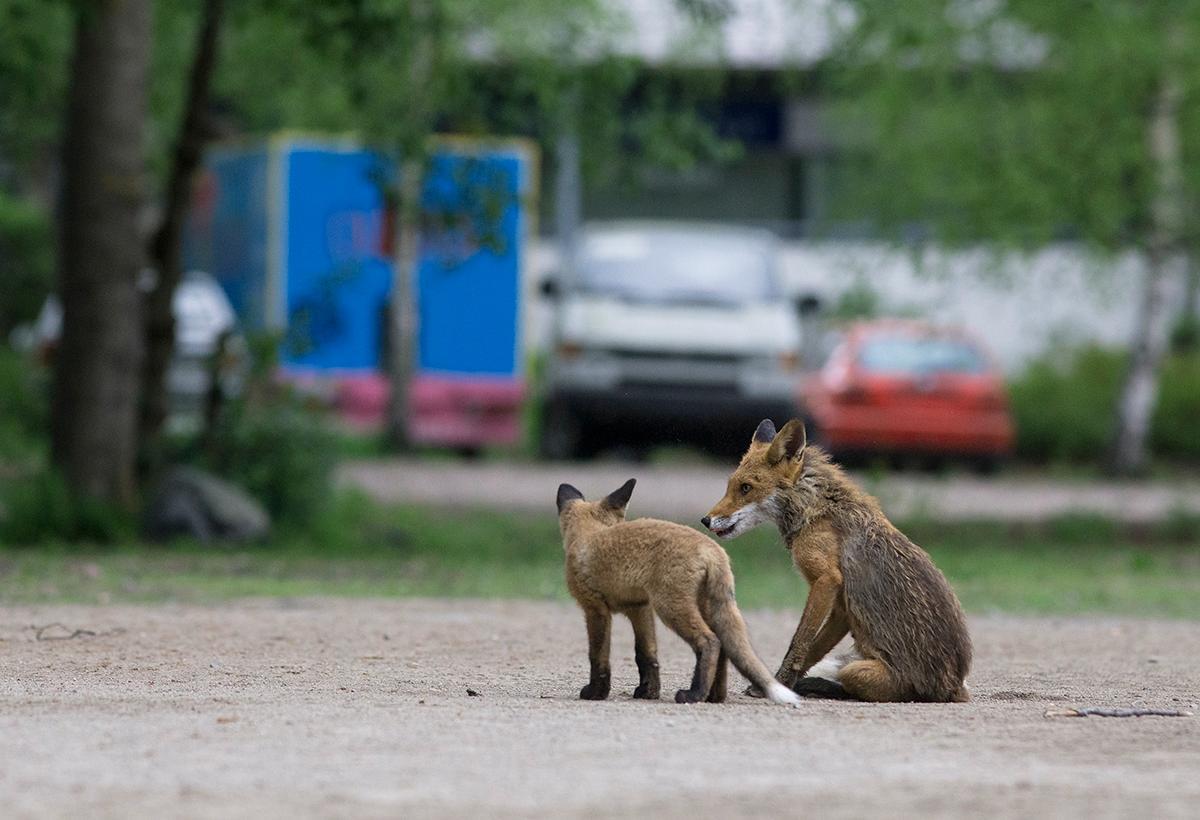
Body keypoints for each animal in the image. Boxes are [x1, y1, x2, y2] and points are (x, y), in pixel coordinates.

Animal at [556, 477, 801, 710]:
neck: (588, 535)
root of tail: (713, 549)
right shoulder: (640, 607)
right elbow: (646, 654)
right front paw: (648, 692)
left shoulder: (595, 608)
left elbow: (597, 655)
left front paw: (595, 693)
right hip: (703, 608)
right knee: (724, 647)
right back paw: (714, 696)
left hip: (671, 608)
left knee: (710, 642)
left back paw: (694, 695)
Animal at [700, 420, 964, 701]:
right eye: (731, 486)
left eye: (746, 488)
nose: (705, 520)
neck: (814, 511)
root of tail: (953, 688)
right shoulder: (841, 608)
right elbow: (813, 650)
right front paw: (783, 684)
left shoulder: (826, 580)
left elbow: (799, 643)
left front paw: (776, 685)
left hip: (861, 671)